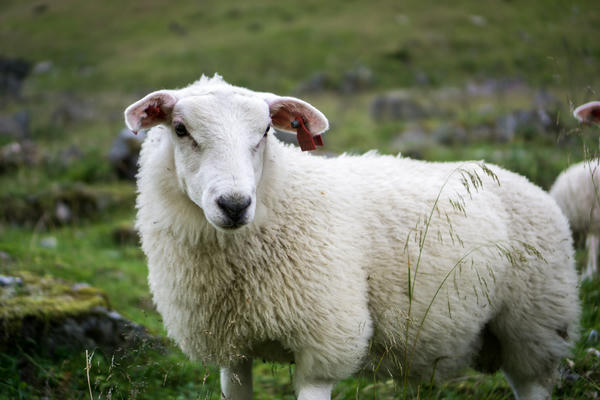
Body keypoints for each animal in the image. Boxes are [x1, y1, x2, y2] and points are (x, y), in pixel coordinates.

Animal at [124, 76, 580, 400]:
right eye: (180, 129)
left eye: (267, 130)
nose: (234, 204)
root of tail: (518, 178)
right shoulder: (234, 352)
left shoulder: (324, 343)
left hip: (536, 324)